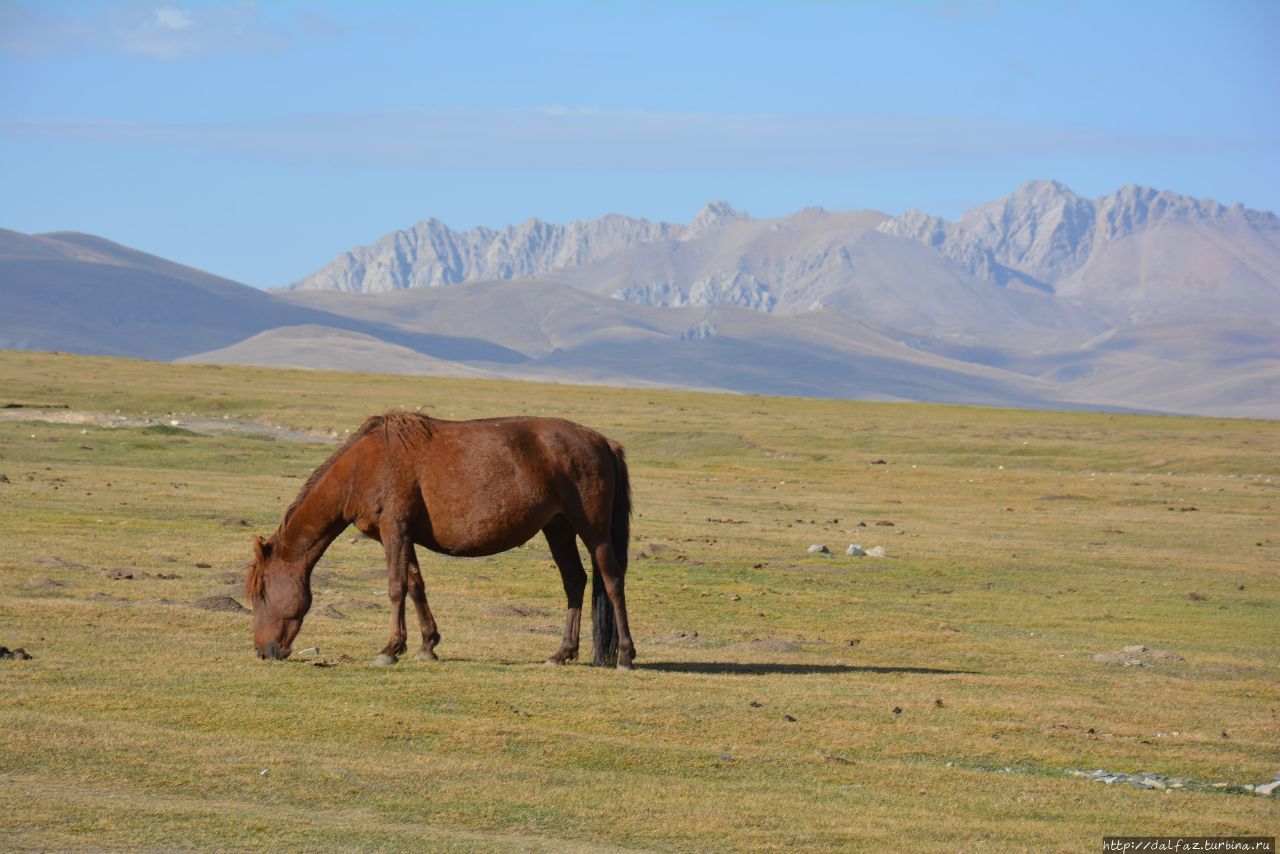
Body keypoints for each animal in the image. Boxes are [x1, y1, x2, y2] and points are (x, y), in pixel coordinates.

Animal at [240, 412, 634, 665]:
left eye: (262, 593)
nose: (263, 650)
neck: (362, 468)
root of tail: (604, 442)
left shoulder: (394, 530)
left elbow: (396, 587)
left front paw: (390, 649)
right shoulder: (401, 536)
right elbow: (416, 585)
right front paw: (427, 646)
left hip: (593, 529)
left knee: (612, 580)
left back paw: (626, 655)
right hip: (558, 527)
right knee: (575, 581)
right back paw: (562, 653)